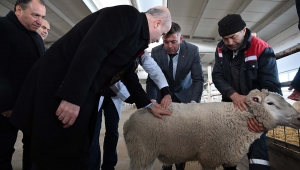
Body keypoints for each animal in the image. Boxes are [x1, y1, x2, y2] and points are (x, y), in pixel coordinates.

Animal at [122, 89, 300, 170]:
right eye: (270, 103)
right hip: (141, 154)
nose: (298, 117)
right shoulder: (210, 157)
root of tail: (129, 121)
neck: (236, 118)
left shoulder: (228, 155)